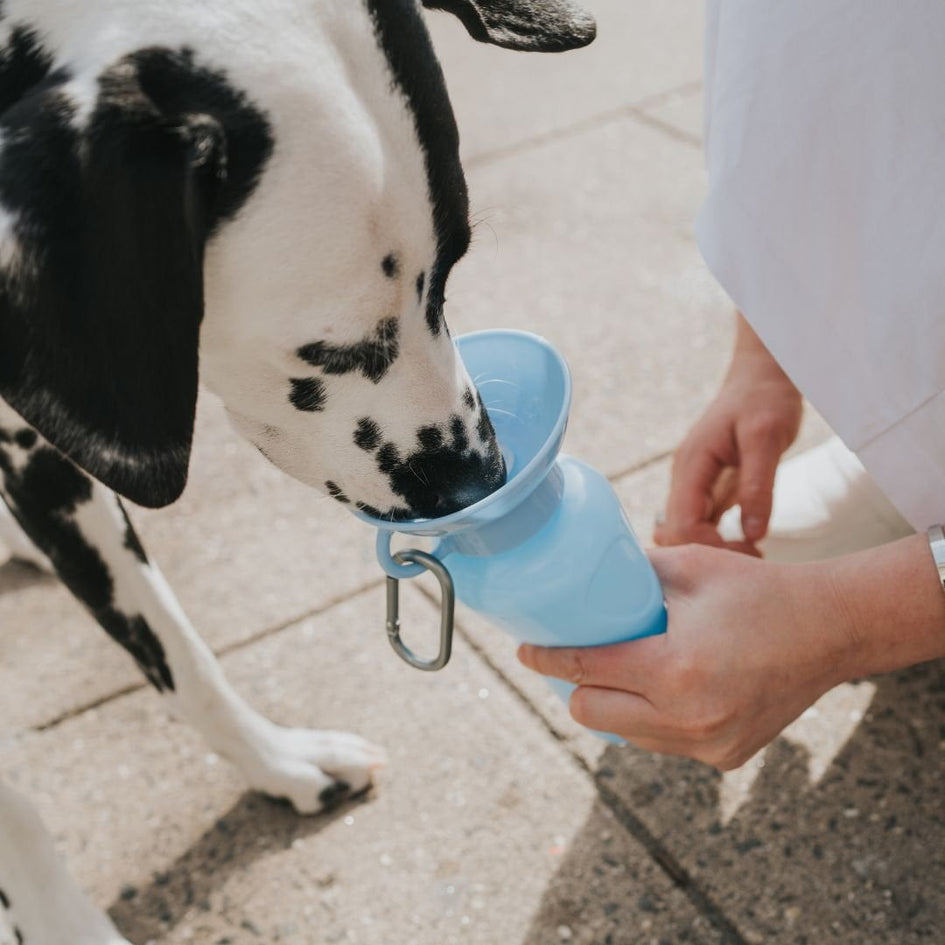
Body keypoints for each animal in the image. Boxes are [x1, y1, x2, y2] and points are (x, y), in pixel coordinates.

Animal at [0, 1, 592, 944]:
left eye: (453, 267)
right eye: (329, 350)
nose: (481, 481)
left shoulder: (52, 464)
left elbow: (183, 656)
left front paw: (278, 761)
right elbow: (14, 809)